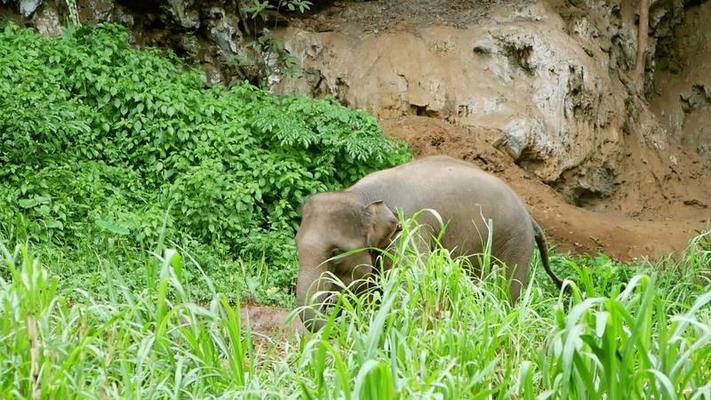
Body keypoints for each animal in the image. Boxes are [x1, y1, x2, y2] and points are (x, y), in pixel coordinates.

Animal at [294, 155, 560, 332]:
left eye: (336, 253)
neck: (360, 196)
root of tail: (530, 217)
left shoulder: (409, 231)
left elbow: (411, 285)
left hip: (516, 243)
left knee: (505, 292)